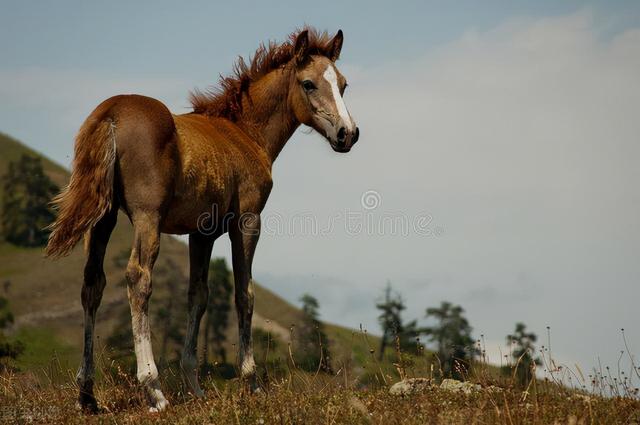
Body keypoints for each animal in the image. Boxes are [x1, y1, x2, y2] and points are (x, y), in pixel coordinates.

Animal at [45, 27, 360, 410]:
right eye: (309, 83)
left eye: (343, 84)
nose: (348, 133)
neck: (245, 133)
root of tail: (110, 114)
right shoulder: (247, 220)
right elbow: (244, 293)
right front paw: (251, 381)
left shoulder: (202, 232)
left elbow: (198, 294)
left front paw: (194, 383)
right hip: (147, 217)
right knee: (138, 278)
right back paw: (153, 388)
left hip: (101, 218)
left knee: (93, 283)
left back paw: (87, 393)